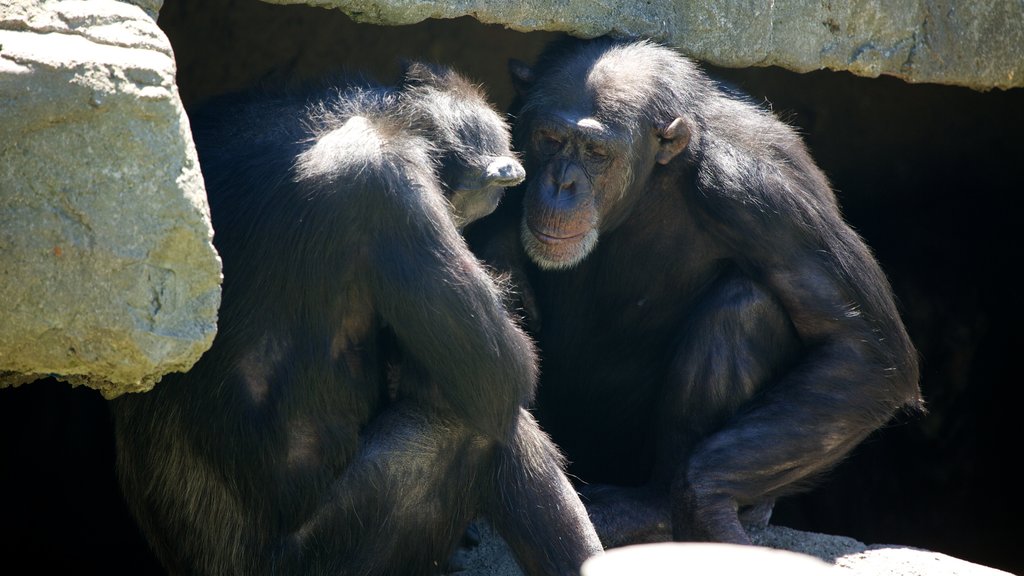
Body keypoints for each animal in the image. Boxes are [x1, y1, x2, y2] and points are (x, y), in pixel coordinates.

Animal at [466, 35, 929, 545]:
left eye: (595, 152)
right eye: (548, 139)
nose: (561, 182)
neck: (651, 182)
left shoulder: (764, 198)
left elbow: (863, 350)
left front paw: (703, 499)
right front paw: (506, 264)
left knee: (745, 307)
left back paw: (653, 503)